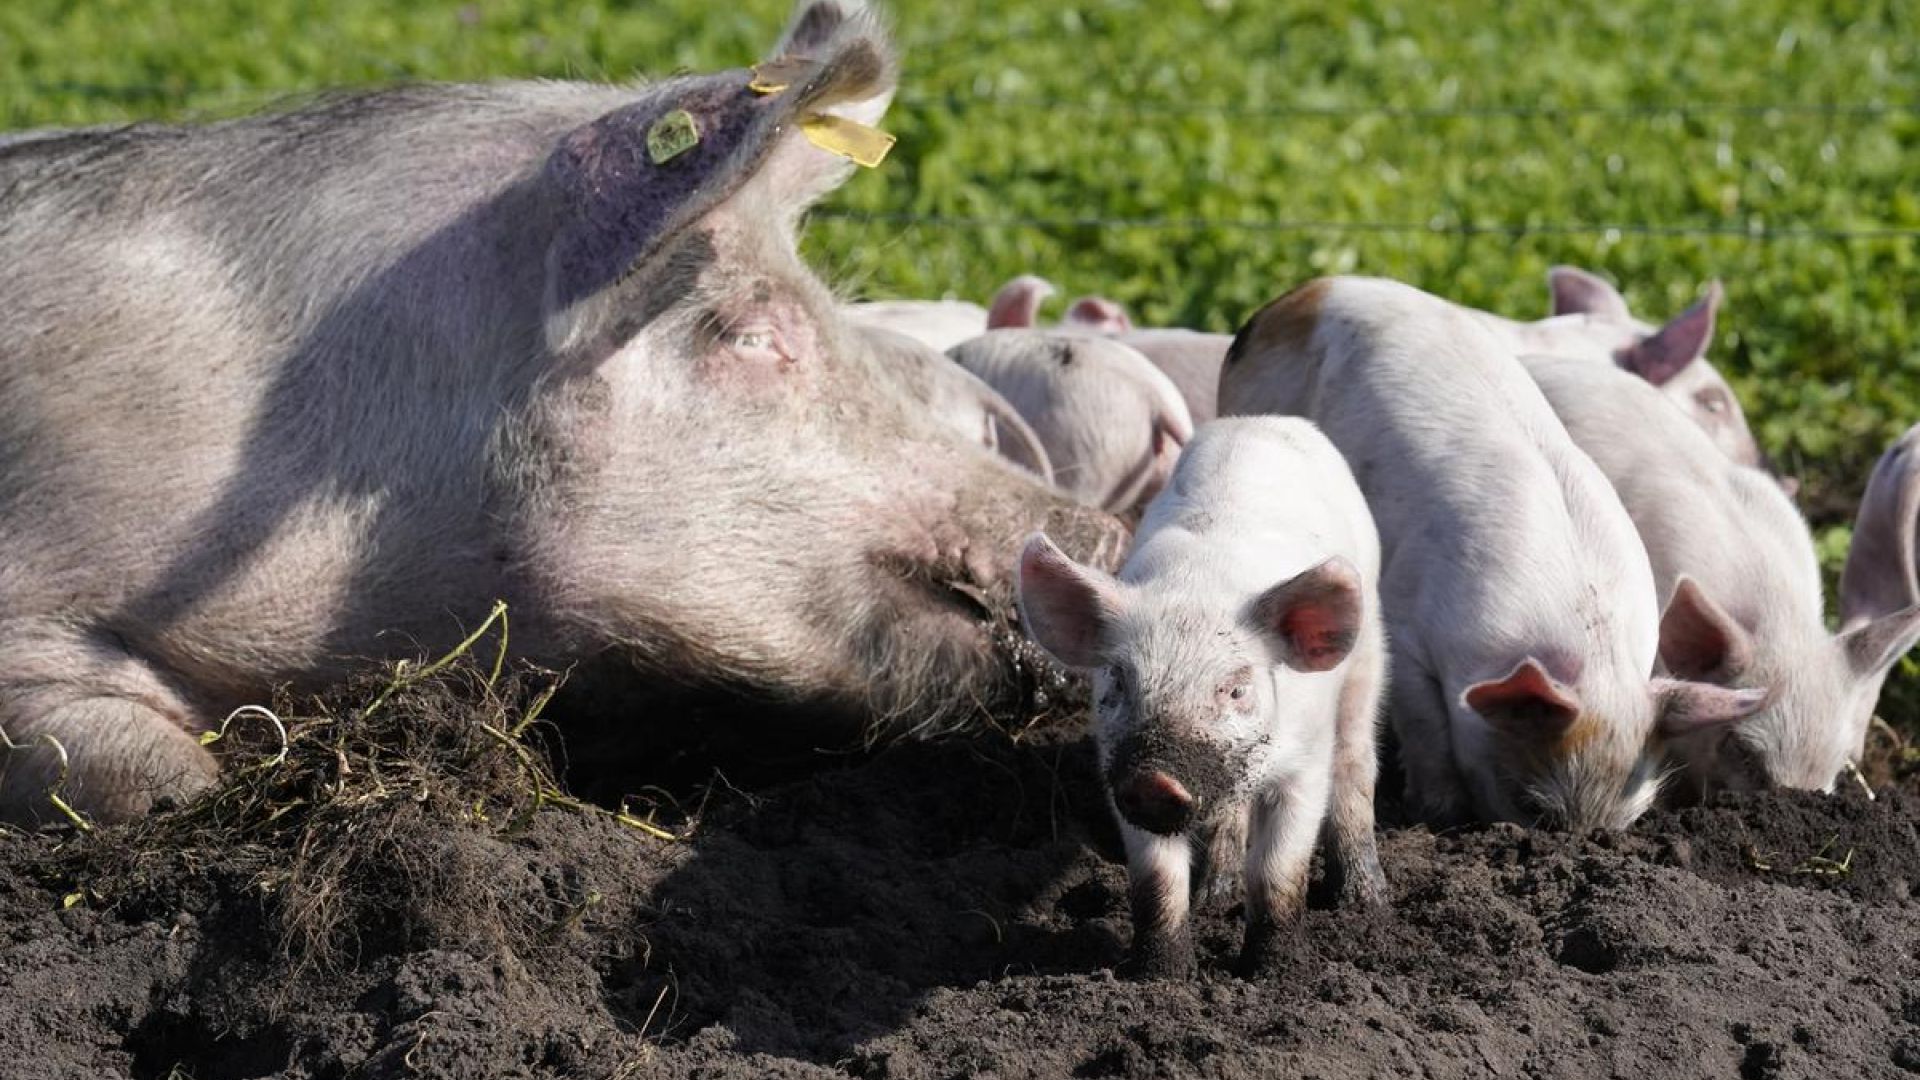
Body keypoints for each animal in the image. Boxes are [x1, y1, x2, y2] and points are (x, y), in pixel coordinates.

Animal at [1029, 417, 1390, 972]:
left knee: (1355, 763)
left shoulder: (1305, 762)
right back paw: (1215, 896)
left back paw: (1365, 901)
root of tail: (1266, 421)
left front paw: (1272, 974)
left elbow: (1279, 869)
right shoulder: (1118, 772)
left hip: (1367, 656)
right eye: (1118, 680)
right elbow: (1156, 881)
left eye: (1237, 689)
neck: (1198, 586)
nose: (1155, 781)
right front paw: (1161, 976)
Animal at [1221, 274, 1758, 822]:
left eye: (1630, 820)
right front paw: (1439, 812)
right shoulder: (1408, 628)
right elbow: (1427, 728)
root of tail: (1306, 292)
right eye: (1534, 805)